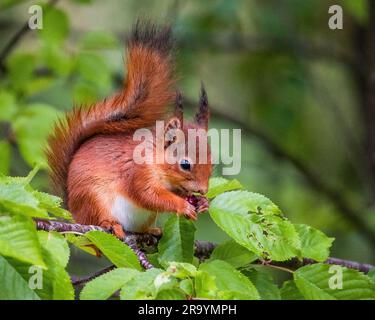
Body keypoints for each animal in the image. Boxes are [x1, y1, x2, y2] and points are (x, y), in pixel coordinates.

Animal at [45, 21, 213, 239]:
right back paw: (111, 224)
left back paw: (152, 230)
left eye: (212, 164)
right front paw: (182, 205)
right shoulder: (137, 171)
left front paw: (202, 203)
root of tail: (75, 215)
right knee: (99, 218)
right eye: (185, 164)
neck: (156, 159)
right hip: (93, 199)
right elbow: (148, 195)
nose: (203, 190)